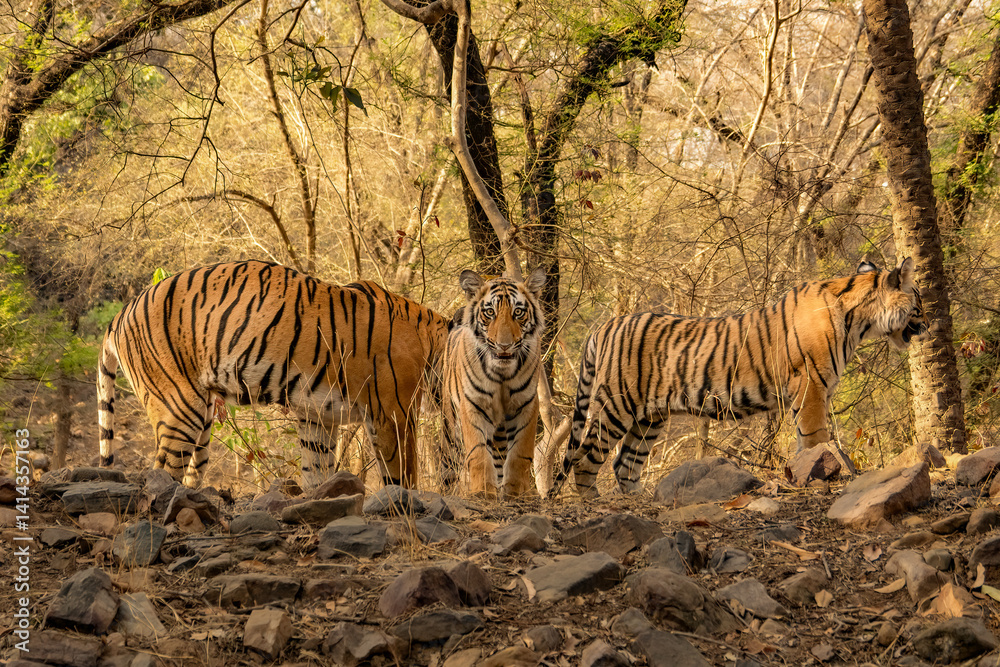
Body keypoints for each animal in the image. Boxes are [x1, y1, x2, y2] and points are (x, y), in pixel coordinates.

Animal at [97, 260, 450, 489]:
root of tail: (119, 314)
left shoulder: (317, 418)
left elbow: (316, 470)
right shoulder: (393, 413)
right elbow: (402, 474)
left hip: (203, 422)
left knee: (189, 472)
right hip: (179, 407)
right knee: (160, 472)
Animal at [440, 268, 547, 499]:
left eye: (518, 312)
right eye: (489, 312)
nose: (504, 346)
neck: (502, 373)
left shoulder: (526, 405)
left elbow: (520, 453)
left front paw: (516, 491)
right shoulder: (472, 405)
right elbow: (478, 452)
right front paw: (482, 491)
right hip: (449, 425)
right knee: (449, 461)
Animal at [549, 257, 930, 498]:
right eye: (920, 302)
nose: (928, 324)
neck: (860, 320)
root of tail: (605, 325)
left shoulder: (807, 392)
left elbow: (803, 442)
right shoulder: (810, 386)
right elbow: (816, 438)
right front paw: (825, 475)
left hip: (649, 418)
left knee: (625, 464)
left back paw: (638, 500)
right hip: (616, 406)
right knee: (586, 459)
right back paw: (593, 502)